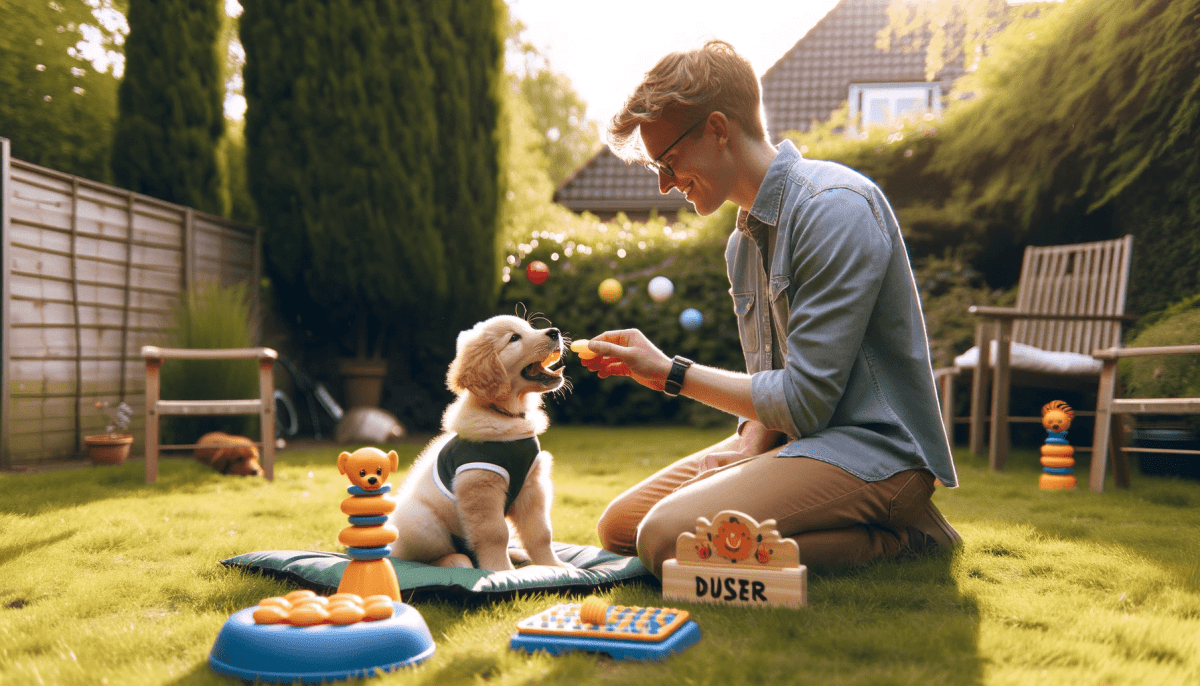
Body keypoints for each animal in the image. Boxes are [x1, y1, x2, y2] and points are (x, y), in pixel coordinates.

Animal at [384, 316, 571, 573]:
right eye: (514, 338)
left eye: (530, 327)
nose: (555, 332)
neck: (506, 415)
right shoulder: (481, 486)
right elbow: (495, 534)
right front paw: (501, 571)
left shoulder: (532, 486)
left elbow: (541, 533)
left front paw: (555, 566)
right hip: (419, 521)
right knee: (423, 558)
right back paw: (456, 561)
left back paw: (516, 555)